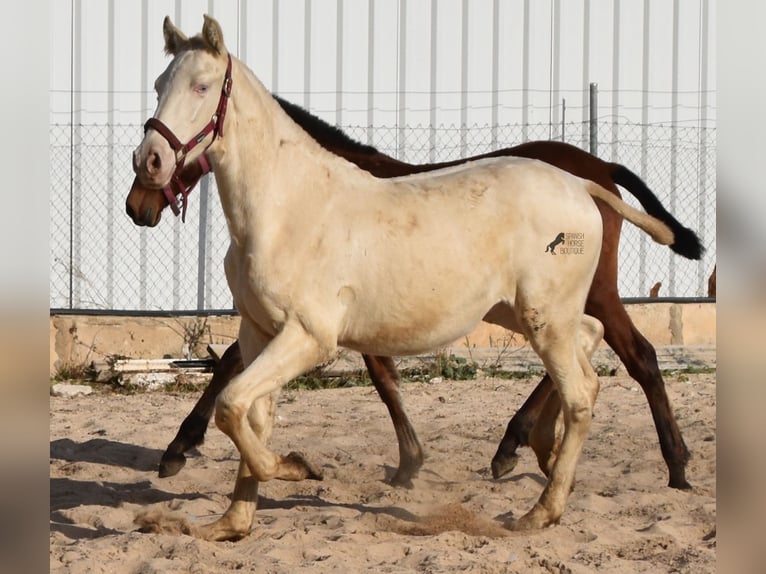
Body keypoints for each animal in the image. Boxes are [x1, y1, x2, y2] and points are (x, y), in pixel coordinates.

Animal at [132, 15, 688, 544]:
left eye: (202, 86)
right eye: (158, 83)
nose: (148, 166)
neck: (286, 208)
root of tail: (584, 183)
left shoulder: (309, 337)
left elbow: (231, 405)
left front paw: (298, 468)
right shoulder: (259, 333)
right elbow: (249, 414)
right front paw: (230, 525)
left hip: (546, 315)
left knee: (584, 390)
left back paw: (544, 508)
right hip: (522, 312)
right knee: (590, 354)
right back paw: (540, 451)